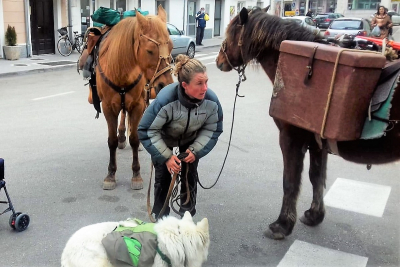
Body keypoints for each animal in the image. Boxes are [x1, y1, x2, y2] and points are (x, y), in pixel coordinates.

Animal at [97, 5, 173, 191]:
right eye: (150, 51)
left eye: (172, 47)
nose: (165, 85)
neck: (120, 71)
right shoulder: (107, 107)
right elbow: (111, 141)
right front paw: (111, 174)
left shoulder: (138, 105)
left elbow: (135, 139)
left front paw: (136, 174)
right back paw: (122, 135)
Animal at [216, 6, 400, 241]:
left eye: (232, 33)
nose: (219, 60)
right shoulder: (317, 142)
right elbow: (317, 177)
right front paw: (315, 214)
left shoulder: (290, 139)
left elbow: (290, 181)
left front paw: (282, 224)